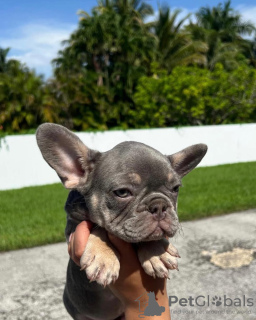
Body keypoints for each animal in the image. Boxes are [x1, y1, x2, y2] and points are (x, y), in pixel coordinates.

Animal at [36, 123, 208, 320]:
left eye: (175, 188)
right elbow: (98, 227)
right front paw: (102, 258)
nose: (159, 205)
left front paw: (157, 252)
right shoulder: (73, 224)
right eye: (122, 192)